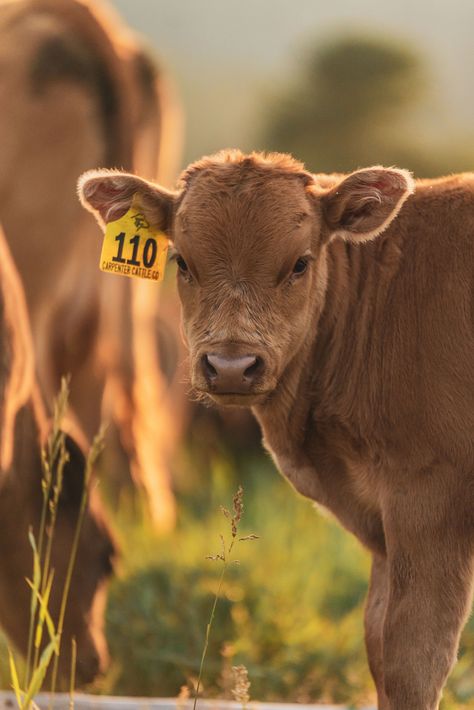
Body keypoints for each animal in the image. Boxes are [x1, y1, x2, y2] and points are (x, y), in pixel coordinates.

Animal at [79, 147, 474, 708]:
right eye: (182, 261)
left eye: (299, 264)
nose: (230, 365)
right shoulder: (384, 532)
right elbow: (378, 643)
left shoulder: (429, 502)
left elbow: (412, 662)